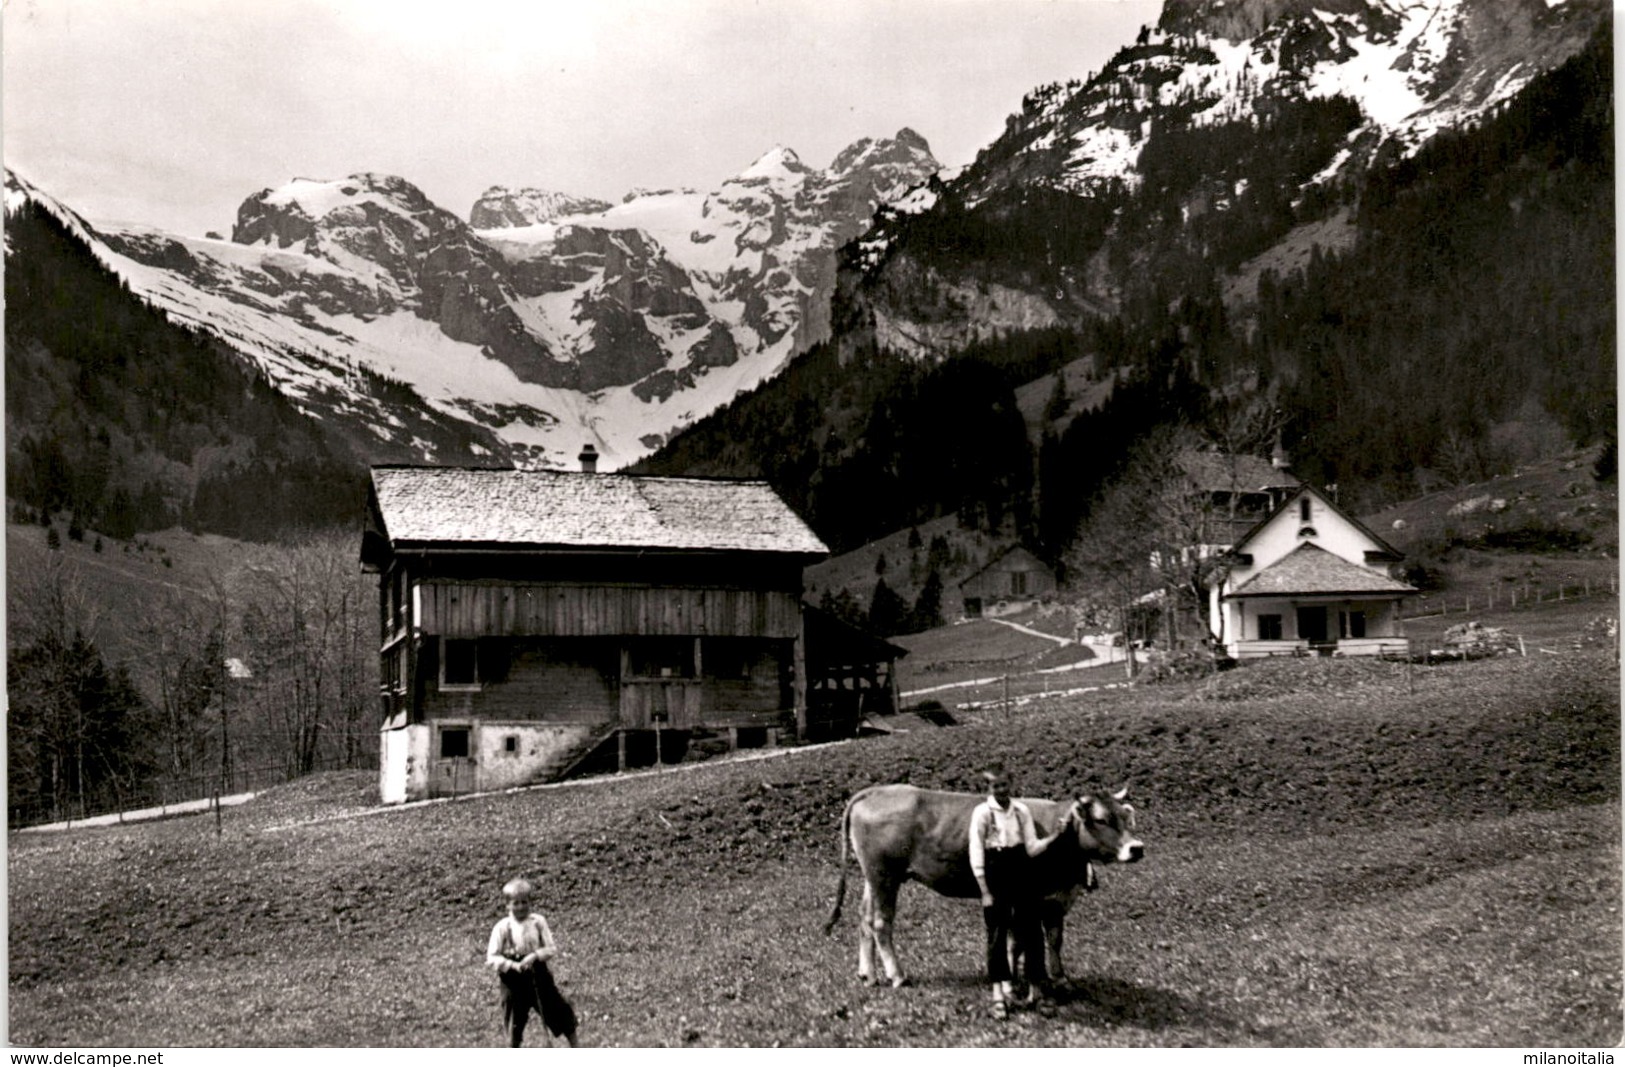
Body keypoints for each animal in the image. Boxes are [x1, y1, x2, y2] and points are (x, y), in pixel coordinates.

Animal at [825, 779, 1144, 987]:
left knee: (864, 919)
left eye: (1125, 816)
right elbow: (1020, 941)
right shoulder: (1025, 899)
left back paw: (868, 974)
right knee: (881, 923)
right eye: (1101, 820)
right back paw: (897, 975)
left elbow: (1054, 940)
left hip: (874, 876)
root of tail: (877, 790)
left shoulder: (1057, 900)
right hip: (885, 876)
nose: (1137, 848)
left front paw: (1060, 978)